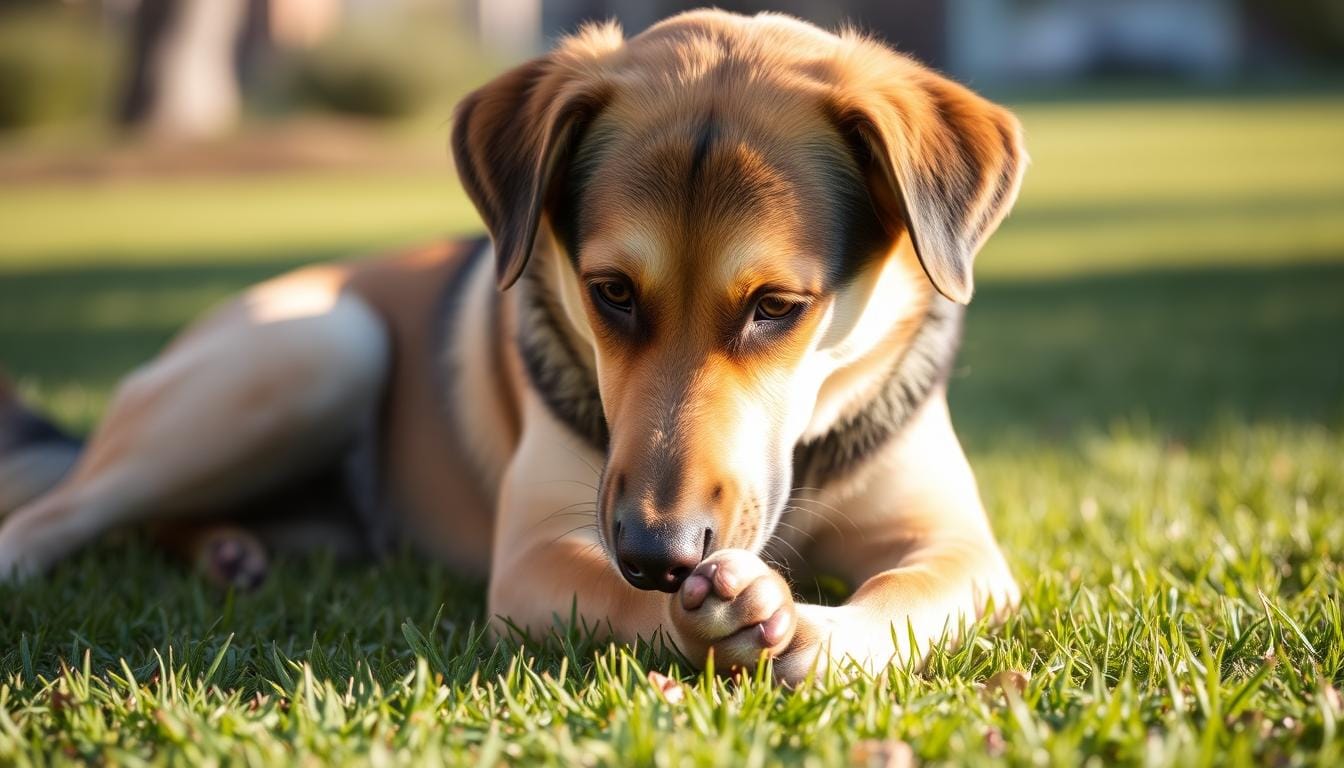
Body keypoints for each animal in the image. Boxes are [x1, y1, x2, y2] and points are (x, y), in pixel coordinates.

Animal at [0, 8, 1021, 685]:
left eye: (777, 306)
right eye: (611, 292)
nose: (657, 551)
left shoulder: (965, 550)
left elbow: (908, 594)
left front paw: (814, 631)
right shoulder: (536, 558)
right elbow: (613, 600)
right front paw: (724, 618)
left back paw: (226, 552)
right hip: (319, 346)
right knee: (61, 511)